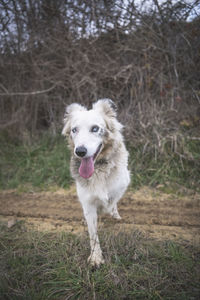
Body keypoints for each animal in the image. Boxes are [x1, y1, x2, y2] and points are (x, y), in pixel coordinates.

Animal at [61, 99, 130, 266]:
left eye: (95, 128)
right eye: (74, 130)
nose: (80, 151)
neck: (98, 170)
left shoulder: (123, 183)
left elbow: (112, 201)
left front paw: (109, 210)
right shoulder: (87, 202)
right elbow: (93, 233)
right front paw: (96, 257)